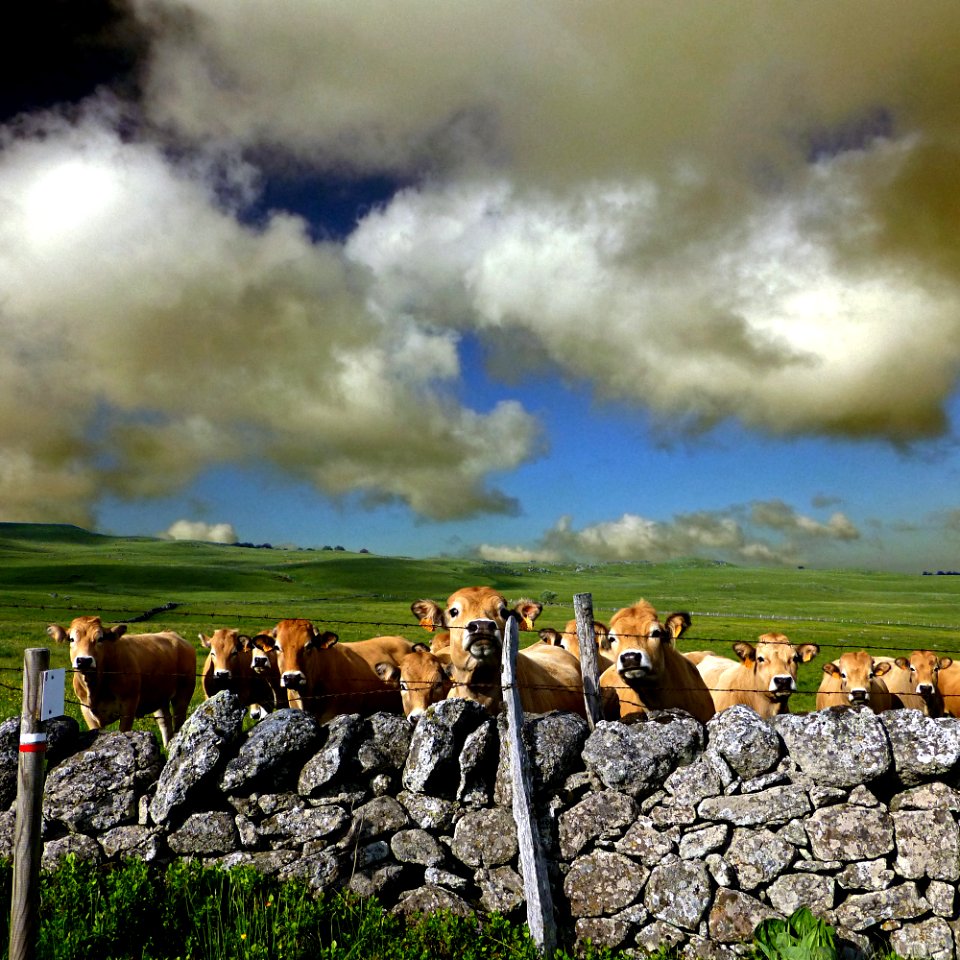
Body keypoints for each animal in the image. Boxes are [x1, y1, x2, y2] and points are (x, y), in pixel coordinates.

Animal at [46, 620, 195, 748]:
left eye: (100, 639)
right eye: (72, 639)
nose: (84, 660)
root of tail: (174, 635)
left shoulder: (129, 704)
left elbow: (123, 733)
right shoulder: (85, 709)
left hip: (183, 695)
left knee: (179, 722)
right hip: (159, 697)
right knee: (165, 722)